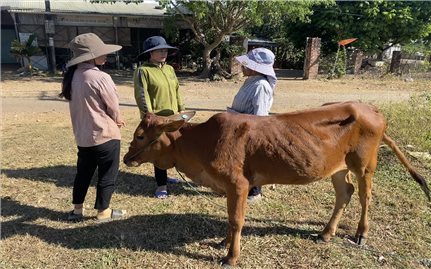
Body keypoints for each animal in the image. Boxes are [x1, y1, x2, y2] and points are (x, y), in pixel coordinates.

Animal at [123, 101, 430, 266]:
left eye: (140, 136)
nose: (126, 157)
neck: (203, 142)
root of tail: (372, 109)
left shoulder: (238, 185)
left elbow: (236, 220)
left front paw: (231, 257)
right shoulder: (230, 189)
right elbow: (230, 219)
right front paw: (222, 243)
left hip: (364, 165)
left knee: (366, 196)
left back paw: (361, 234)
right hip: (338, 168)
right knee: (346, 193)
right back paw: (325, 233)